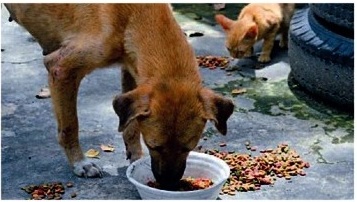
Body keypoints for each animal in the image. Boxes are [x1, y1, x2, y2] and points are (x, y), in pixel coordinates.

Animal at [4, 3, 234, 189]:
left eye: (189, 147)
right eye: (154, 146)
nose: (168, 185)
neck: (135, 16)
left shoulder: (132, 69)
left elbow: (131, 127)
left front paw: (135, 158)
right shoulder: (61, 69)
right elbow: (70, 126)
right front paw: (80, 163)